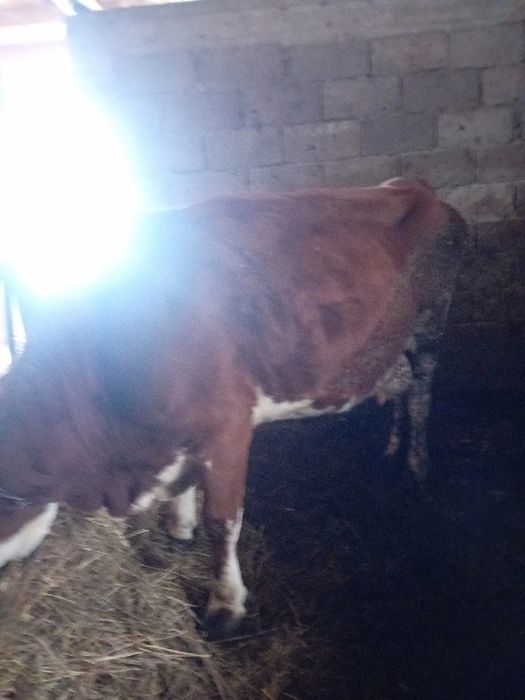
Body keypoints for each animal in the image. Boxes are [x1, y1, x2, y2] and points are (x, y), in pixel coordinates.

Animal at [0, 178, 466, 638]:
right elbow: (186, 491)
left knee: (421, 399)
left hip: (430, 324)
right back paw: (391, 450)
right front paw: (179, 528)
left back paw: (415, 471)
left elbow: (222, 523)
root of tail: (412, 186)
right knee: (401, 392)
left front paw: (226, 608)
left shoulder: (228, 428)